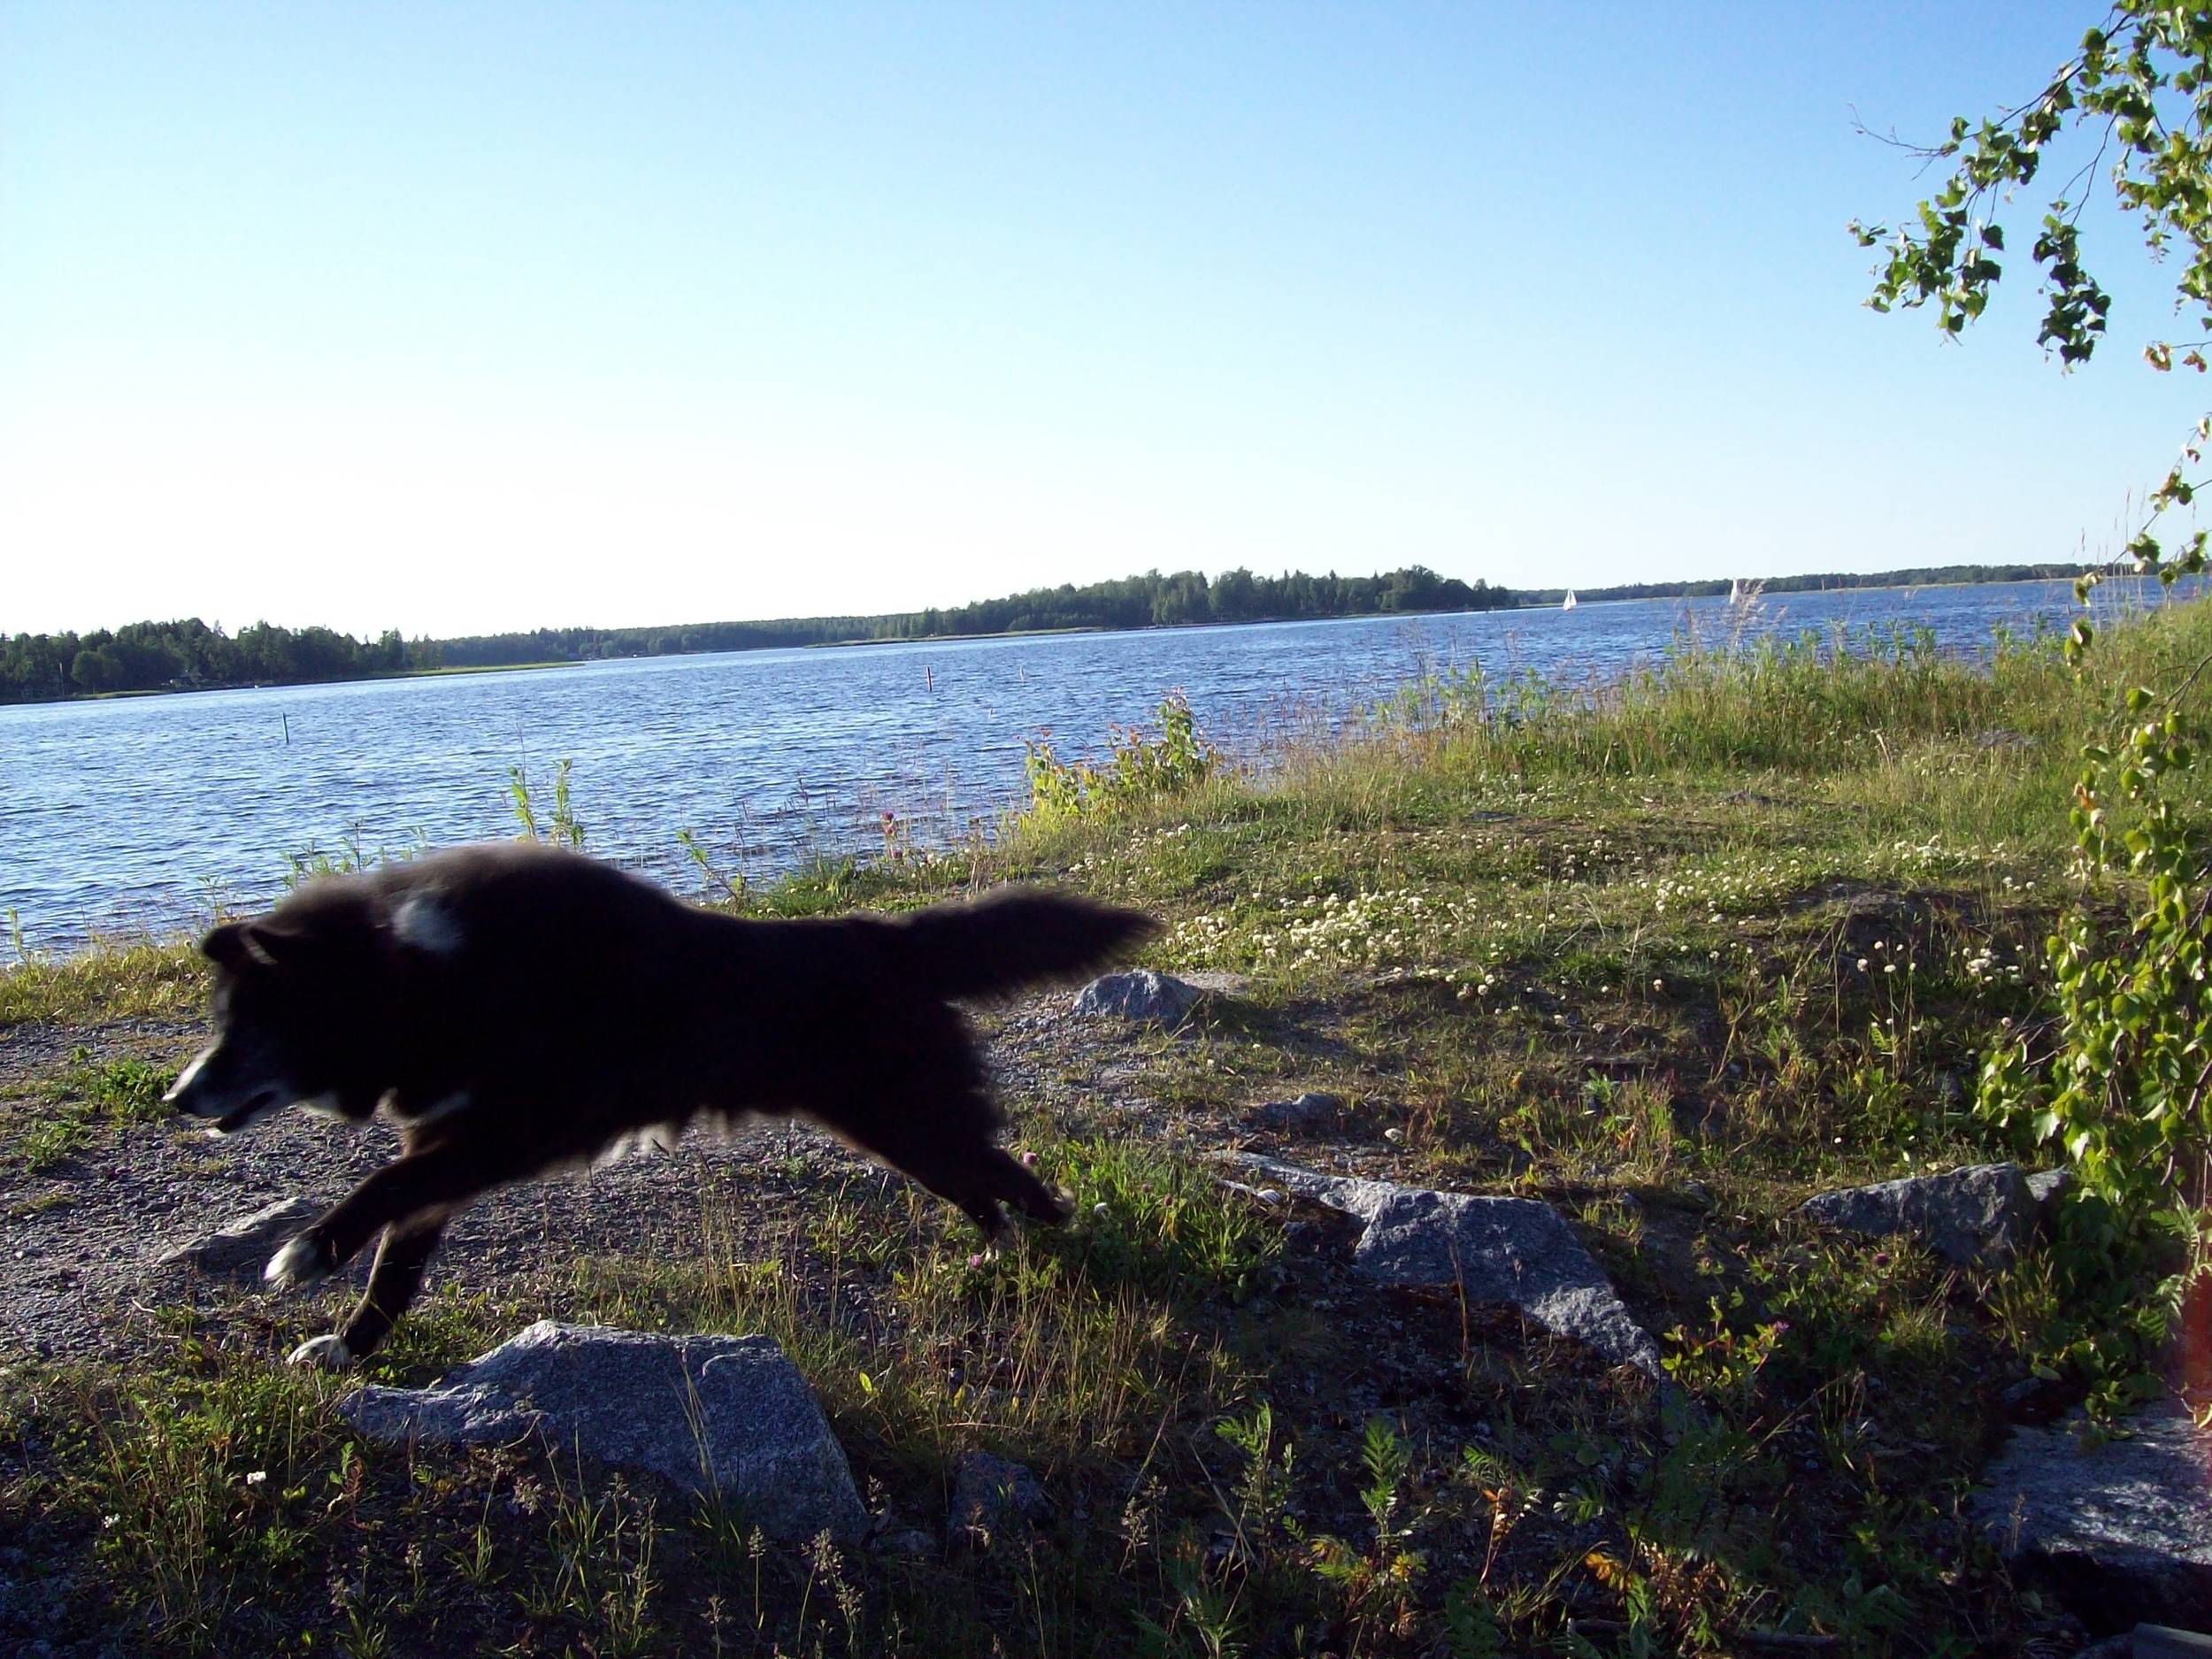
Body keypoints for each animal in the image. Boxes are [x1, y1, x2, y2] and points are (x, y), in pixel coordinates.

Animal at [164, 849, 1150, 1371]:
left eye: (246, 1026)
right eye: (219, 1021)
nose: (177, 1096)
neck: (422, 981)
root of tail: (886, 936)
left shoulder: (496, 1138)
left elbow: (378, 1188)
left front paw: (301, 1254)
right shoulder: (445, 1145)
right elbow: (394, 1266)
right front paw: (349, 1348)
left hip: (906, 1118)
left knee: (1012, 1179)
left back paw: (1059, 1245)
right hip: (902, 1128)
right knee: (990, 1186)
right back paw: (1000, 1258)